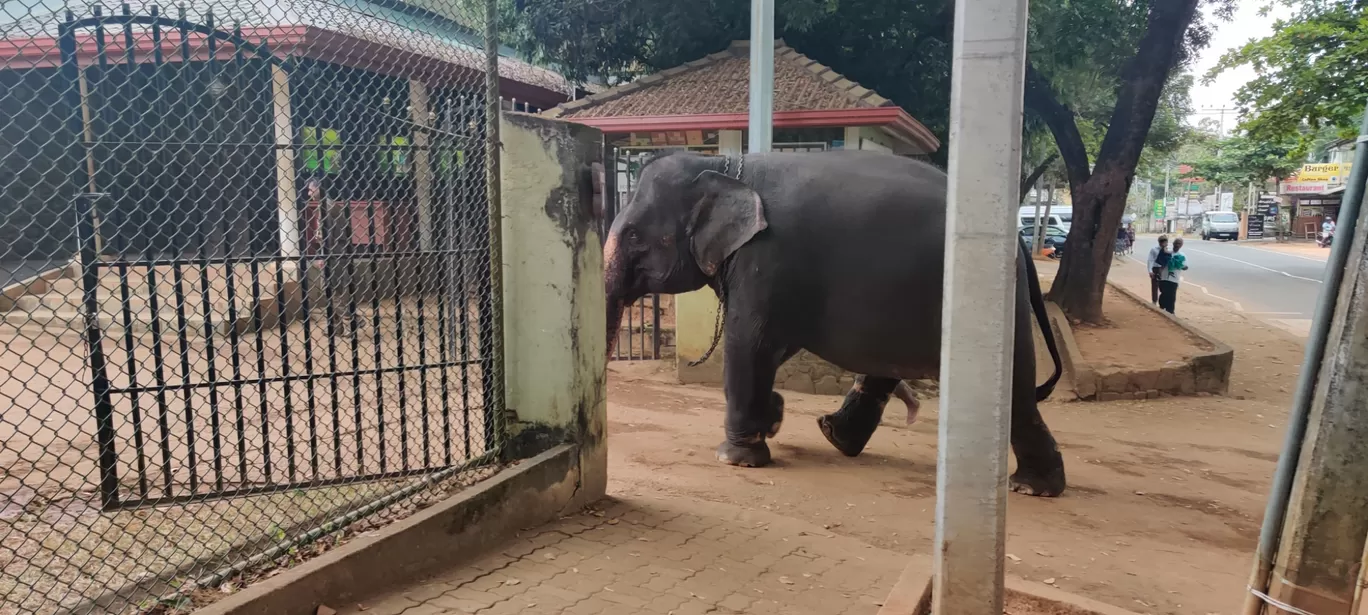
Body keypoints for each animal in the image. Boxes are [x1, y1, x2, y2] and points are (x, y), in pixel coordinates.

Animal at [607, 150, 1067, 500]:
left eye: (633, 236)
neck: (724, 165)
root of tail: (1020, 241)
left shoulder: (766, 260)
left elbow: (748, 344)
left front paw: (737, 459)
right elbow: (771, 348)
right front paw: (773, 417)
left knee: (1013, 391)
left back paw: (1032, 487)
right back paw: (834, 435)